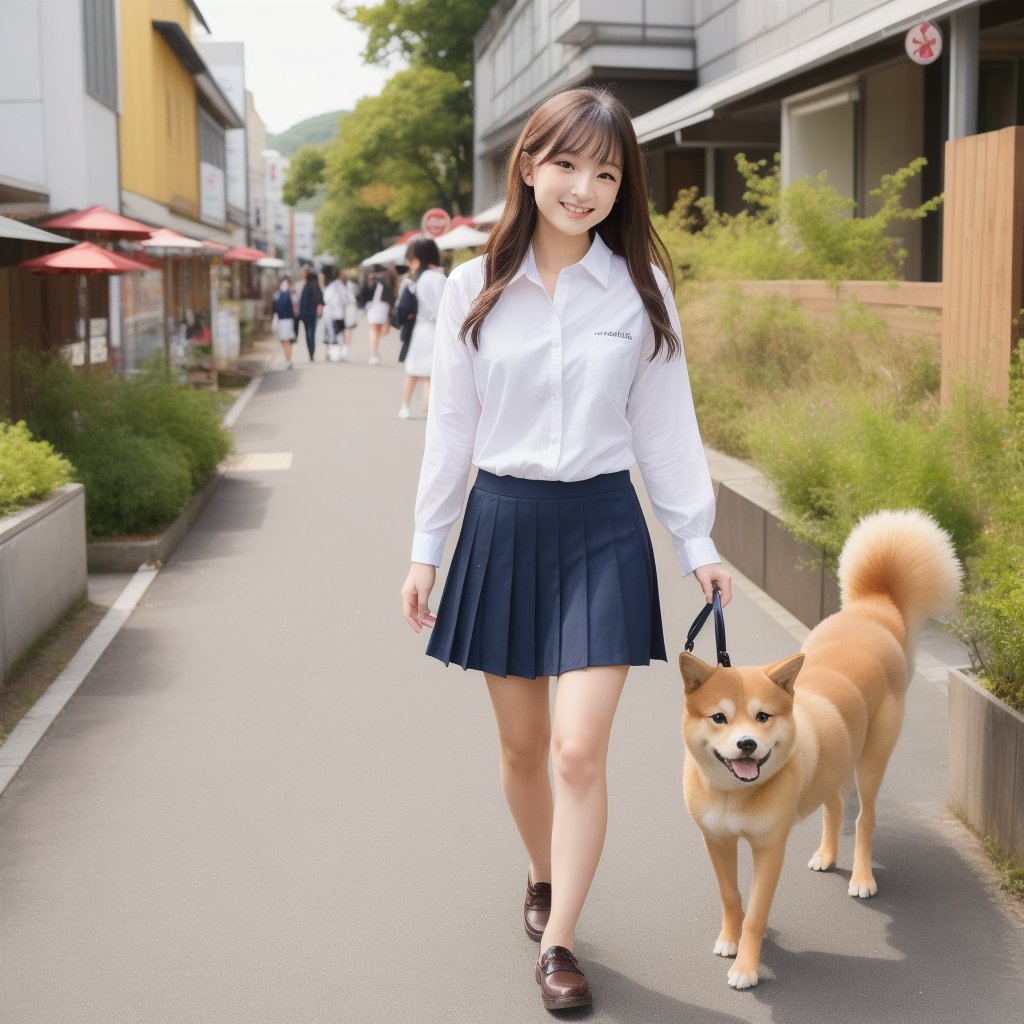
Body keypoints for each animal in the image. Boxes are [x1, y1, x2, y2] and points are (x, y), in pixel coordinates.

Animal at [679, 507, 958, 987]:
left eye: (762, 717)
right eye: (719, 718)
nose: (747, 744)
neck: (734, 795)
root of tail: (874, 607)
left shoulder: (769, 848)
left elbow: (756, 913)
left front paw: (746, 967)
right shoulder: (717, 841)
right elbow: (732, 897)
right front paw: (729, 939)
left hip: (871, 762)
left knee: (864, 818)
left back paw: (861, 877)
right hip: (834, 763)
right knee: (835, 807)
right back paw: (828, 855)